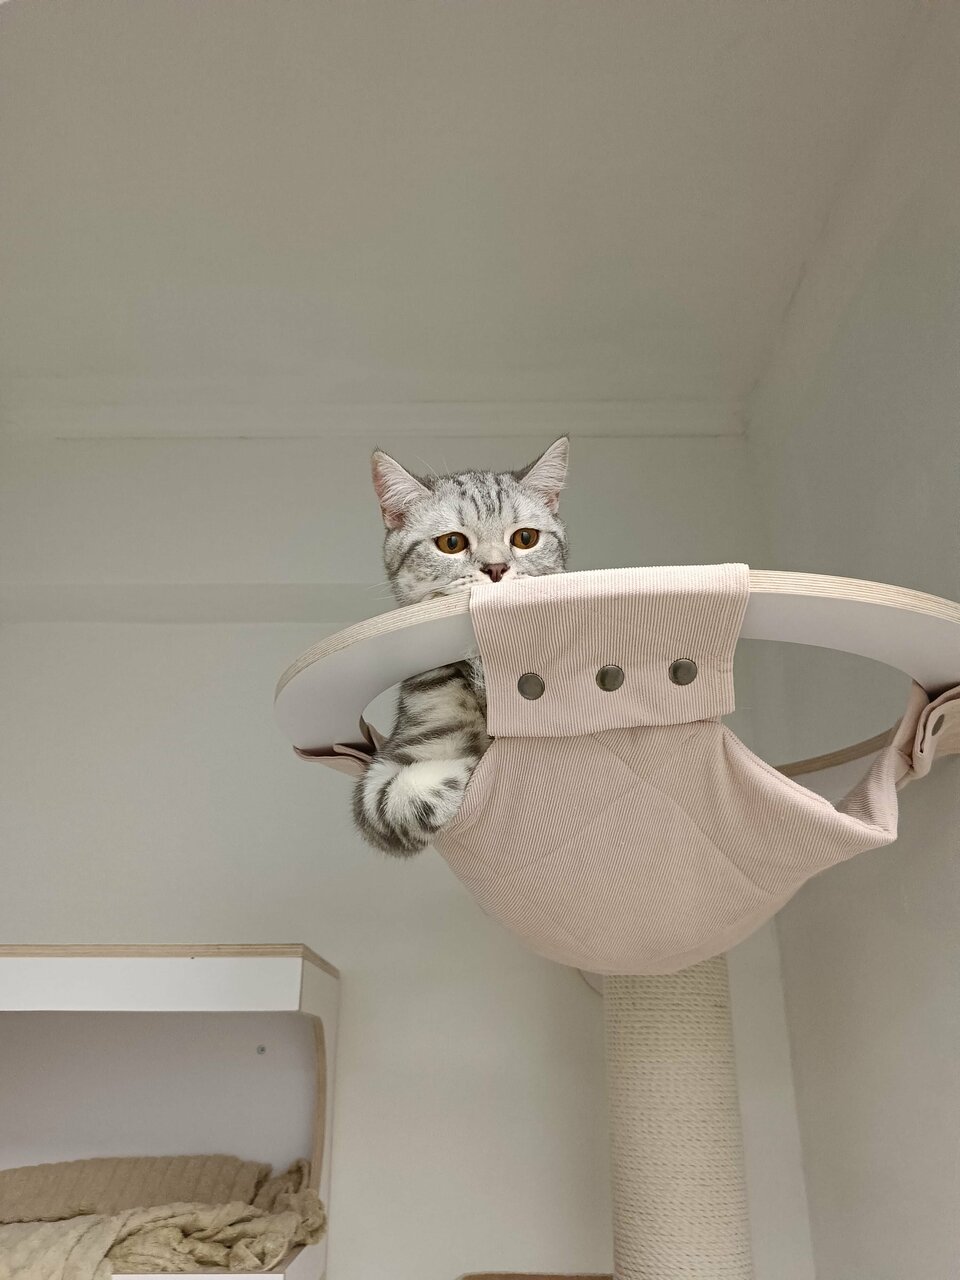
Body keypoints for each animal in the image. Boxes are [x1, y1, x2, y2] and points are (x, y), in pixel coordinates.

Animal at [352, 438, 570, 856]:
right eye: (451, 543)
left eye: (525, 538)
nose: (496, 568)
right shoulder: (388, 766)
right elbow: (399, 796)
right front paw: (468, 769)